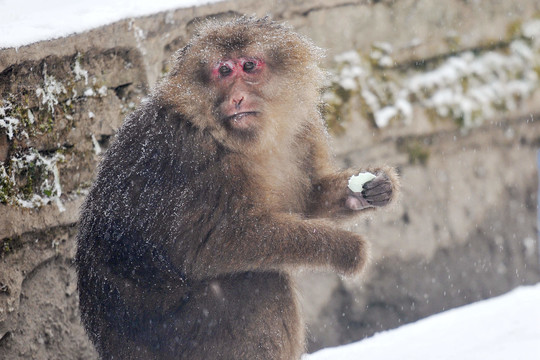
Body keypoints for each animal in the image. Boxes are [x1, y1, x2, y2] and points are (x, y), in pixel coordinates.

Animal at [75, 16, 396, 360]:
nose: (237, 98)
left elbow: (306, 200)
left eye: (249, 66)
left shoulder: (305, 129)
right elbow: (209, 246)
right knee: (258, 282)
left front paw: (374, 189)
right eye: (224, 71)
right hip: (181, 338)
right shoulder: (199, 160)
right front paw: (343, 248)